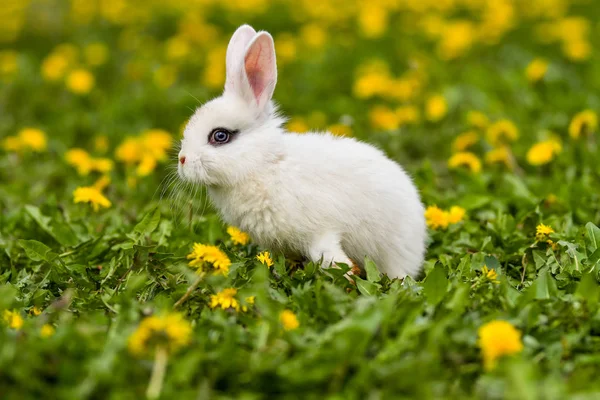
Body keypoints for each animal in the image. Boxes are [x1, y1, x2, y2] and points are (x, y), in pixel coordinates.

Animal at [178, 24, 426, 278]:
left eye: (220, 136)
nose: (182, 160)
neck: (264, 165)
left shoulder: (321, 231)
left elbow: (329, 256)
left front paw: (345, 275)